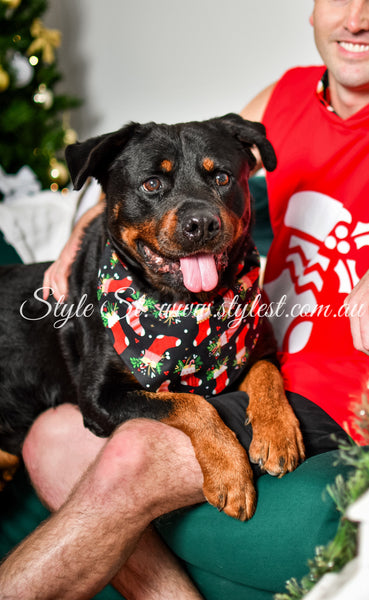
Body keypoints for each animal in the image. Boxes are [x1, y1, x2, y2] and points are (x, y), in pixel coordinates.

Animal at [0, 113, 304, 520]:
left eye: (222, 178)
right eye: (152, 183)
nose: (201, 223)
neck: (186, 307)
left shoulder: (259, 345)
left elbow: (267, 374)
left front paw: (277, 433)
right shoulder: (99, 397)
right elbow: (192, 404)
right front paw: (230, 471)